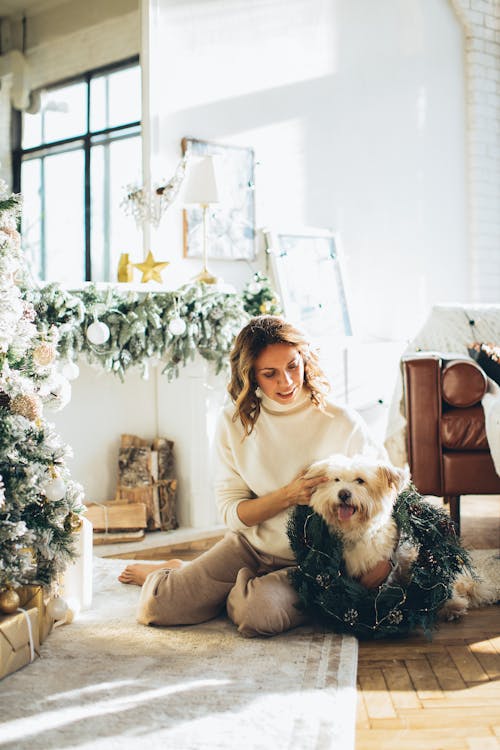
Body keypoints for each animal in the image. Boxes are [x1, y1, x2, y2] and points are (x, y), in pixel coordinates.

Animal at [304, 452, 496, 624]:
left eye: (360, 480)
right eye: (336, 480)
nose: (343, 494)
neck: (358, 529)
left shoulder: (384, 571)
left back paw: (452, 606)